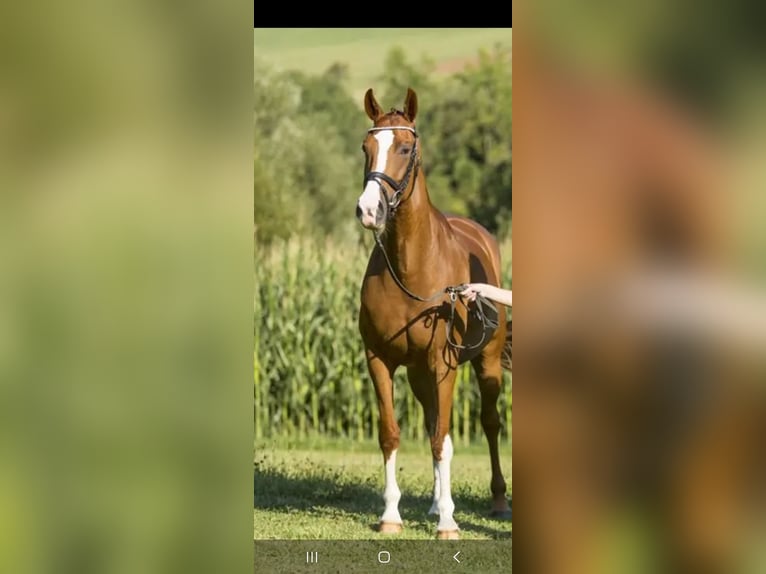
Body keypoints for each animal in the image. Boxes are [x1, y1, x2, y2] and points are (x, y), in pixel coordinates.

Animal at [356, 88, 512, 544]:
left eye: (405, 148)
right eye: (366, 148)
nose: (368, 210)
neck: (412, 267)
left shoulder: (444, 365)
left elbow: (444, 438)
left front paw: (448, 523)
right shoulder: (380, 361)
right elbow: (392, 435)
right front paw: (391, 515)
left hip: (484, 364)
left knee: (489, 423)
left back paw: (497, 502)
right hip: (419, 374)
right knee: (430, 424)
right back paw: (433, 501)